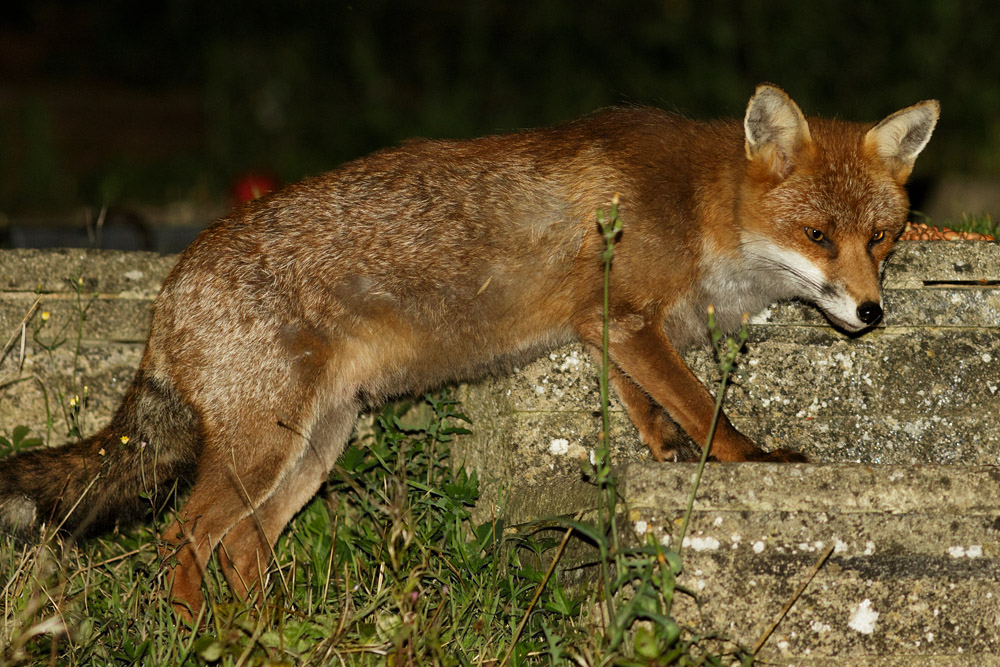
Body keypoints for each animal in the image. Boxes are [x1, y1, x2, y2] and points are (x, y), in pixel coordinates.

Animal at [0, 84, 938, 618]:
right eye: (817, 235)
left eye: (882, 238)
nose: (871, 310)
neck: (696, 205)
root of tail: (170, 287)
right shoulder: (629, 318)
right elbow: (707, 410)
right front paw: (750, 460)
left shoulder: (609, 328)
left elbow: (649, 407)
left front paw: (667, 452)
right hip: (262, 447)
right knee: (183, 537)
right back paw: (205, 634)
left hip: (313, 445)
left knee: (240, 544)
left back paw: (266, 632)